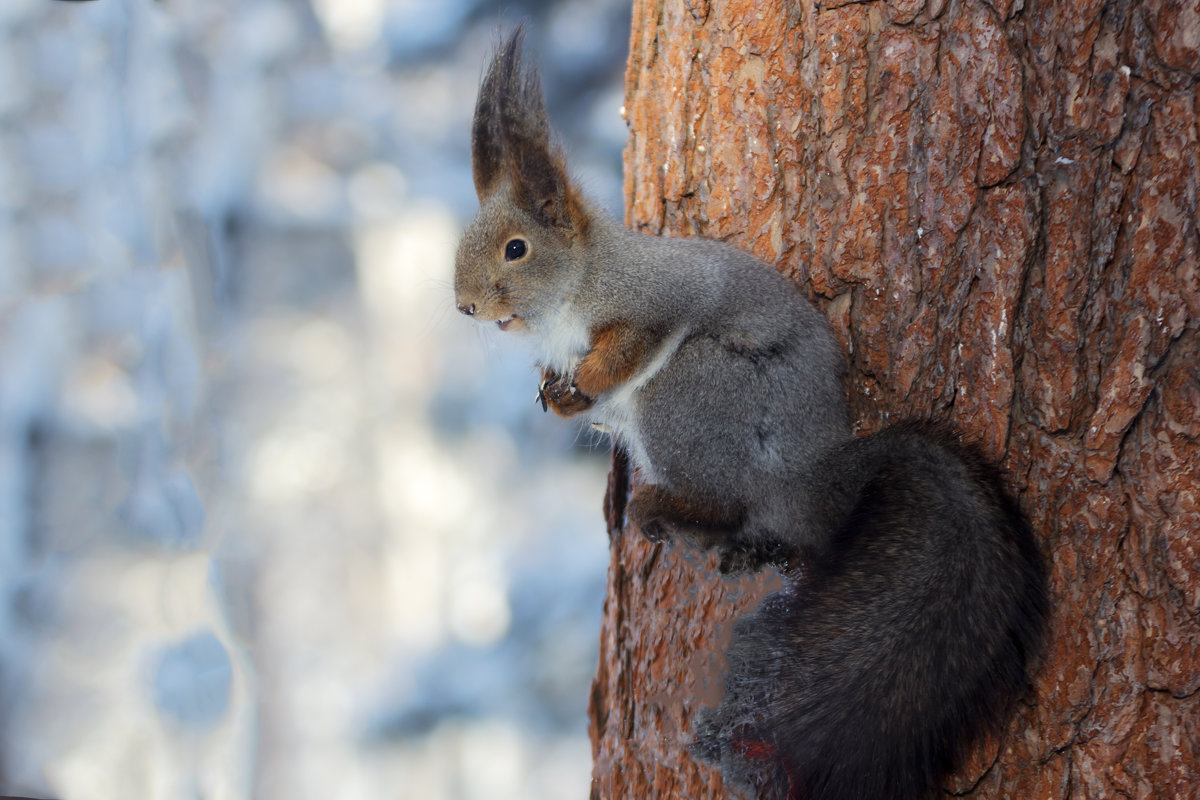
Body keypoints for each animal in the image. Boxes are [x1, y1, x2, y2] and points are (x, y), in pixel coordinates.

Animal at [453, 28, 1046, 800]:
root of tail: (819, 479)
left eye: (516, 249)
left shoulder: (652, 302)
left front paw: (587, 382)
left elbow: (634, 343)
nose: (464, 305)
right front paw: (557, 395)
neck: (566, 301)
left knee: (730, 500)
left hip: (690, 394)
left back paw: (666, 507)